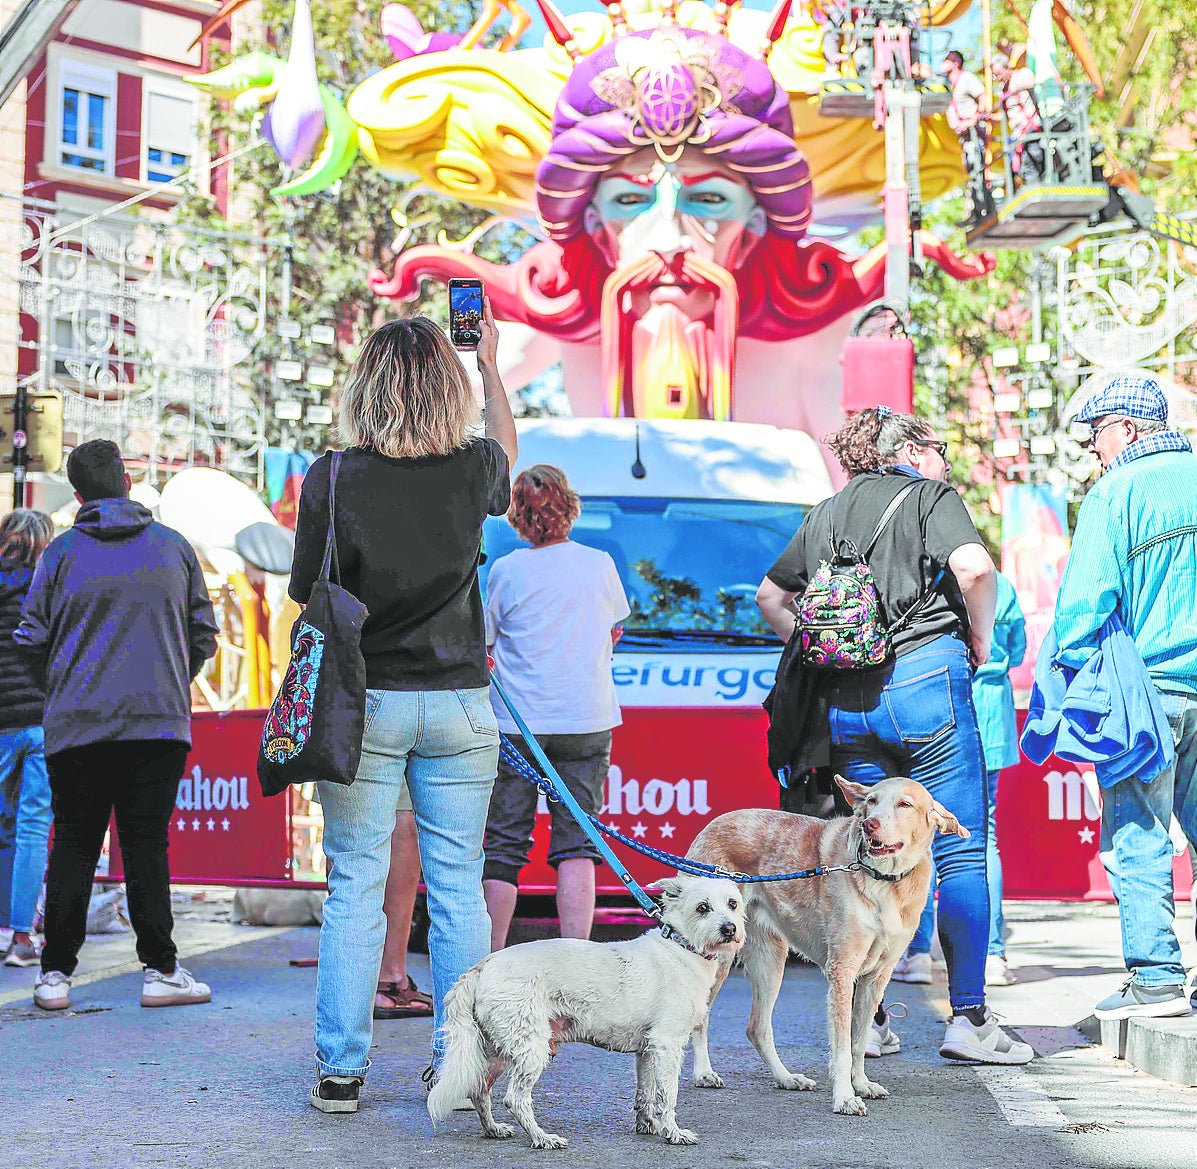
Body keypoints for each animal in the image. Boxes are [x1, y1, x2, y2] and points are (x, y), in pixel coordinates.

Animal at [430, 875, 742, 1148]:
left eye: (733, 904)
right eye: (702, 908)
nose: (729, 929)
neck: (681, 946)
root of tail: (482, 967)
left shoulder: (648, 1051)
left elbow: (646, 1093)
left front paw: (648, 1125)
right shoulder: (668, 1045)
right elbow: (668, 1096)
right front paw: (673, 1133)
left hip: (496, 1050)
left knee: (479, 1091)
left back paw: (493, 1129)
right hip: (530, 1049)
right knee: (514, 1099)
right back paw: (542, 1138)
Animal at [689, 775, 967, 1115]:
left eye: (905, 804)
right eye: (871, 801)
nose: (870, 825)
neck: (884, 881)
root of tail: (712, 824)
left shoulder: (876, 978)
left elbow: (858, 1042)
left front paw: (861, 1084)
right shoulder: (842, 971)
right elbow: (842, 1047)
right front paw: (845, 1096)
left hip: (771, 959)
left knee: (757, 1027)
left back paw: (786, 1078)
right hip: (719, 956)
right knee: (701, 1018)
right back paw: (703, 1072)